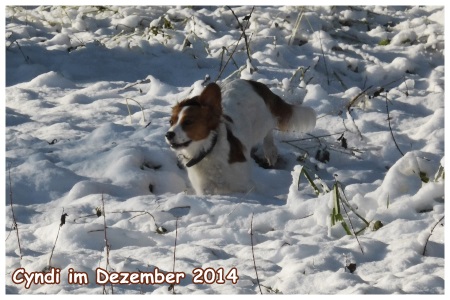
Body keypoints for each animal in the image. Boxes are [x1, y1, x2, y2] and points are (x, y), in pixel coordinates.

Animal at [165, 78, 316, 195]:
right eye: (171, 122)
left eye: (188, 122)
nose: (168, 134)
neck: (208, 152)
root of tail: (253, 83)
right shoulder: (205, 189)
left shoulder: (245, 186)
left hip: (261, 124)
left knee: (268, 130)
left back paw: (270, 151)